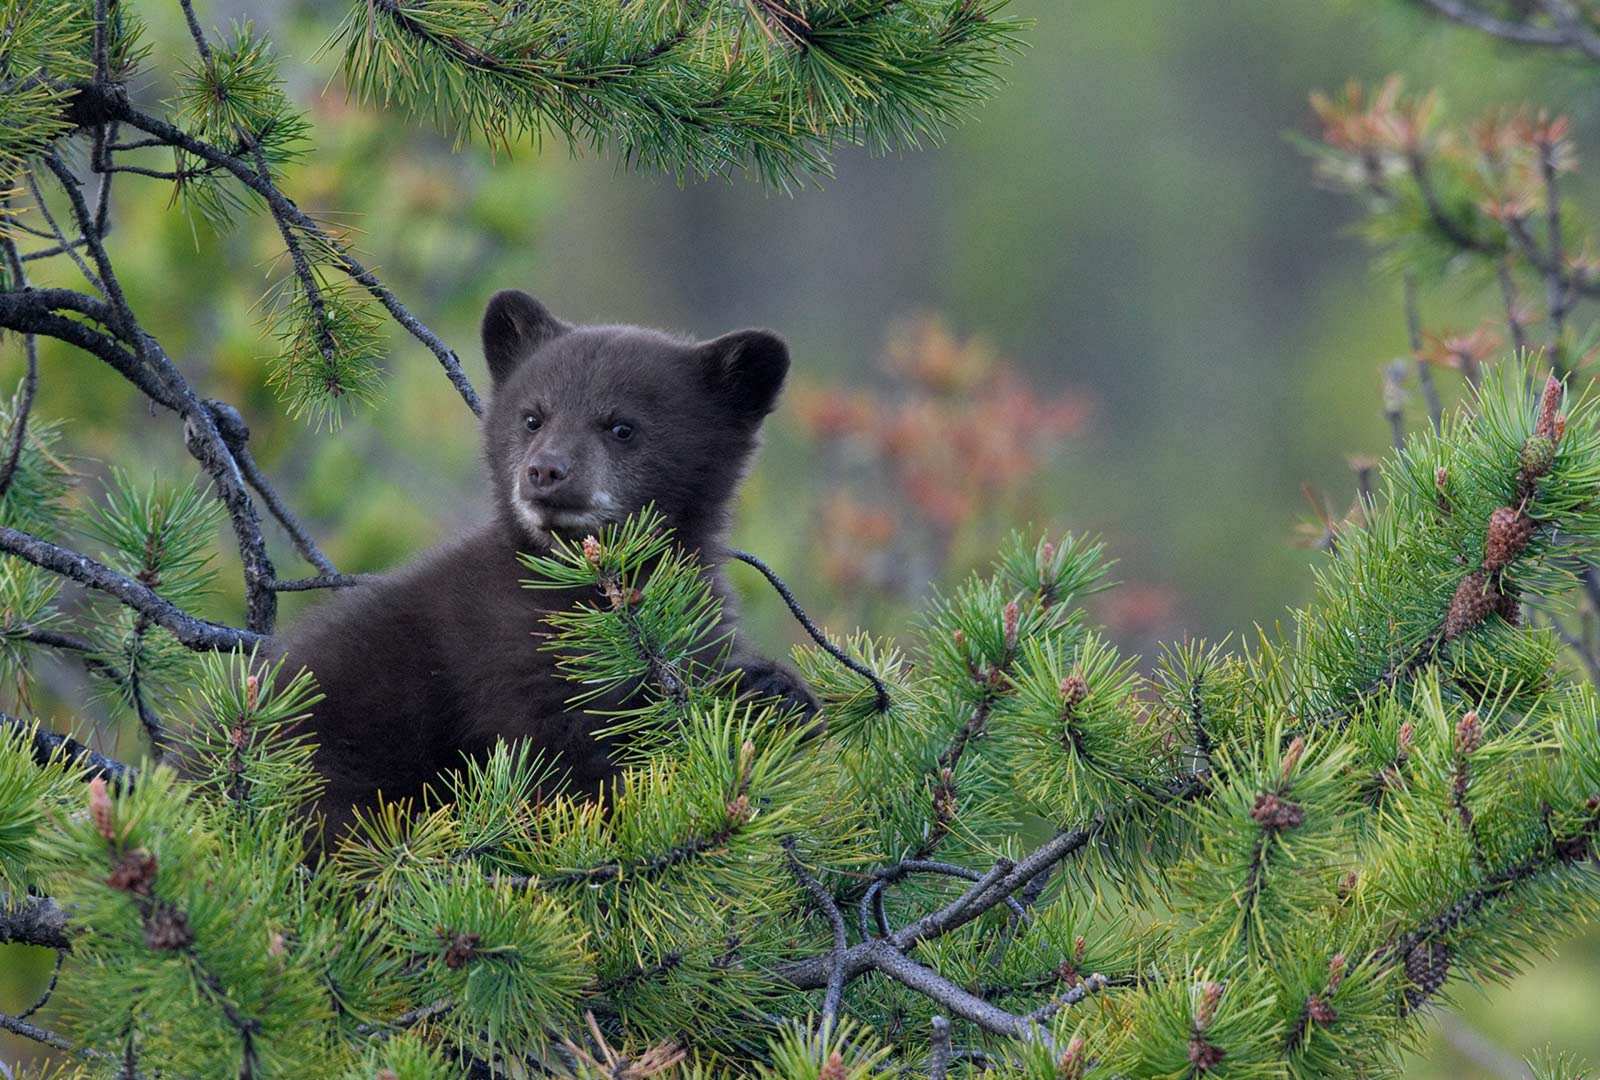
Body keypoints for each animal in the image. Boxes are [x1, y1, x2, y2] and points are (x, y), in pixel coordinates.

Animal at [275, 289, 817, 843]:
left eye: (622, 427)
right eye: (533, 417)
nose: (544, 471)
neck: (589, 591)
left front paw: (774, 690)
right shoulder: (502, 656)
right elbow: (554, 761)